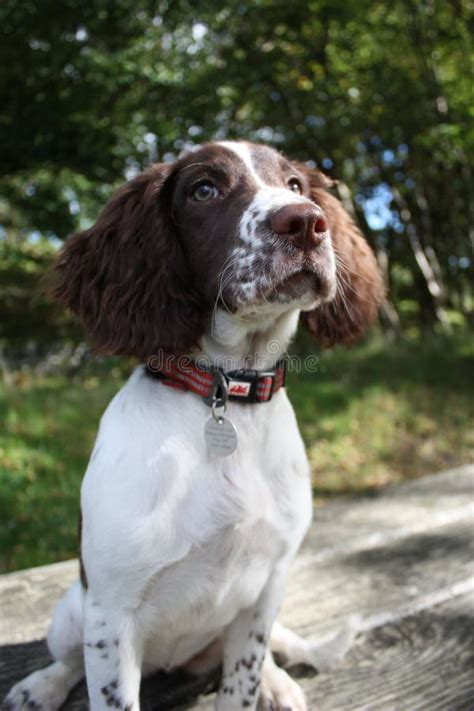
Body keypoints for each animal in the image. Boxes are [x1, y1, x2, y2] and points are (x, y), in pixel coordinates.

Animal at [1, 140, 384, 711]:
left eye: (295, 185)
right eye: (204, 190)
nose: (306, 222)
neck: (227, 394)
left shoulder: (265, 588)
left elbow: (241, 681)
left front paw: (261, 684)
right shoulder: (111, 614)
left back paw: (277, 683)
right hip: (72, 611)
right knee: (67, 659)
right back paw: (39, 686)